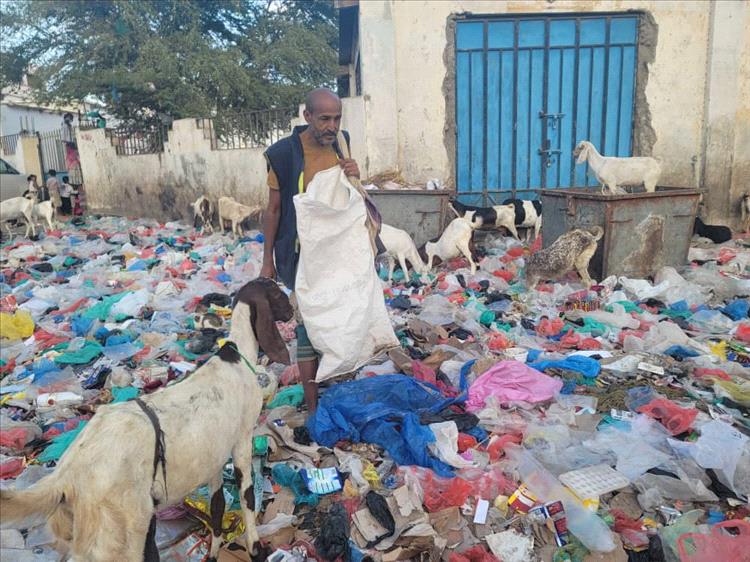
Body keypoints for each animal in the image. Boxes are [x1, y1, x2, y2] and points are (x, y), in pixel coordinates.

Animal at [0, 276, 294, 560]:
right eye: (276, 293)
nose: (292, 311)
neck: (237, 357)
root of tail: (67, 475)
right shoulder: (242, 437)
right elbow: (247, 497)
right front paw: (256, 548)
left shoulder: (213, 455)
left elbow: (217, 506)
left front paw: (213, 552)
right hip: (118, 532)